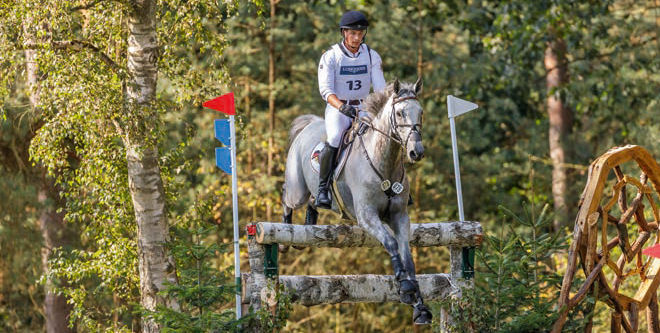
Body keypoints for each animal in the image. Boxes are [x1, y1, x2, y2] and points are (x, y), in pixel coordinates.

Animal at [280, 78, 430, 324]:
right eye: (399, 113)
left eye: (421, 112)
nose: (416, 152)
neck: (384, 161)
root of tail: (309, 124)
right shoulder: (366, 215)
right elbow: (391, 243)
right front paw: (405, 286)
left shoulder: (399, 215)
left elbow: (408, 257)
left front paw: (420, 307)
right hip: (296, 189)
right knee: (286, 196)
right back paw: (284, 237)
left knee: (312, 199)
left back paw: (310, 221)